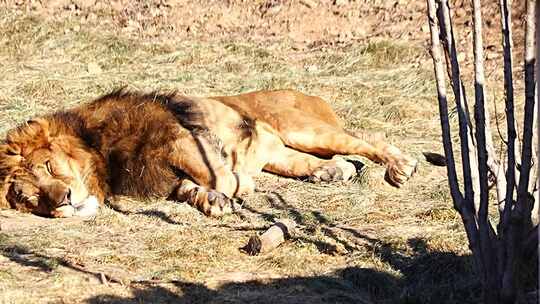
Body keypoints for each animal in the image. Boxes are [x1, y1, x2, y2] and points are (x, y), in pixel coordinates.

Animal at [0, 89, 418, 217]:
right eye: (30, 199)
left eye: (49, 165)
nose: (63, 201)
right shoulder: (163, 176)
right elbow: (191, 187)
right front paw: (210, 202)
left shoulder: (178, 138)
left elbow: (217, 174)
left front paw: (236, 188)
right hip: (284, 154)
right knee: (317, 162)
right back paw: (332, 172)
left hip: (304, 128)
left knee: (367, 141)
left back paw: (402, 166)